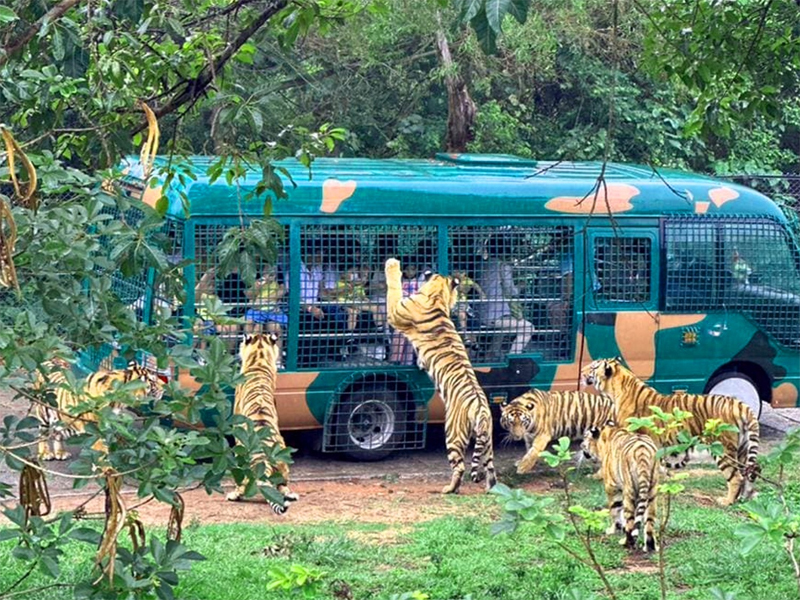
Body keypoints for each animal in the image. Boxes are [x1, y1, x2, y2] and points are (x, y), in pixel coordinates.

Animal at [33, 360, 165, 460]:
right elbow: (101, 452)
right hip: (43, 415)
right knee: (42, 434)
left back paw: (60, 453)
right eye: (153, 380)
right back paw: (45, 454)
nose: (164, 387)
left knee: (57, 433)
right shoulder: (97, 431)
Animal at [225, 330, 300, 512]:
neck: (259, 358)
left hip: (242, 462)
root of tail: (263, 459)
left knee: (242, 486)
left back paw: (233, 495)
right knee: (282, 485)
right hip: (284, 459)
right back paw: (291, 495)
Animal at [382, 258, 494, 492]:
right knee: (489, 469)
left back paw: (449, 489)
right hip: (488, 440)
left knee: (459, 467)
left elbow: (394, 289)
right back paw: (493, 490)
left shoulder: (395, 312)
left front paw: (392, 265)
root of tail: (481, 410)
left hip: (452, 433)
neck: (436, 297)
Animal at [580, 420, 656, 552]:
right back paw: (650, 547)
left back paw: (626, 542)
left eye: (585, 437)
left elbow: (615, 510)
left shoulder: (612, 488)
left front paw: (613, 529)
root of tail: (643, 452)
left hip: (629, 492)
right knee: (649, 522)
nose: (580, 445)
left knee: (631, 522)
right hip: (651, 492)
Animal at [584, 356, 760, 506]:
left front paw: (597, 475)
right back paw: (744, 498)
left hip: (722, 448)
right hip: (742, 449)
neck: (615, 390)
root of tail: (740, 404)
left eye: (593, 367)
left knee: (735, 477)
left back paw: (727, 501)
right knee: (746, 474)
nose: (582, 372)